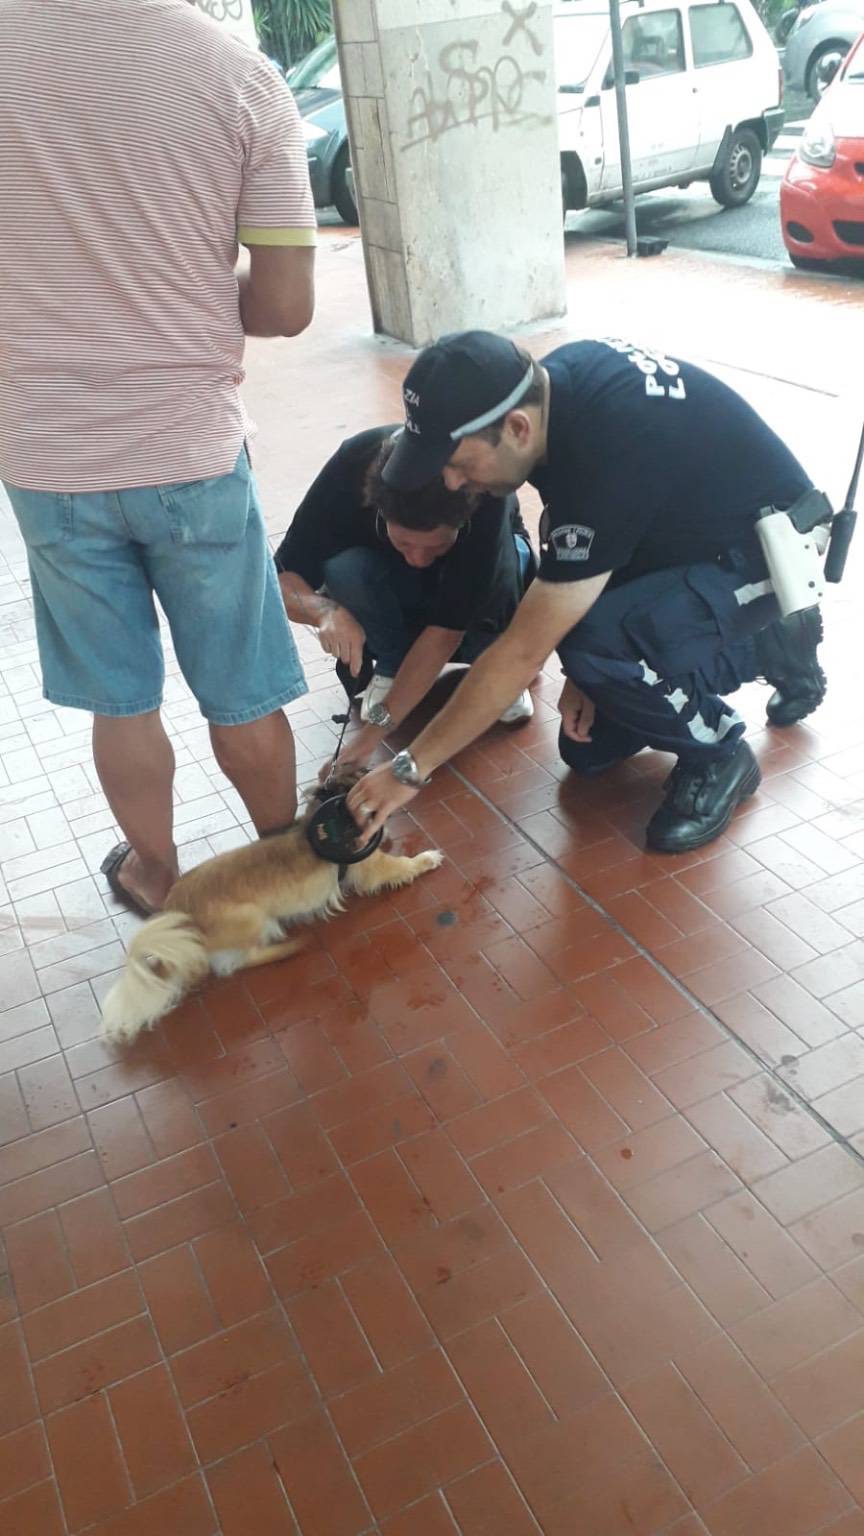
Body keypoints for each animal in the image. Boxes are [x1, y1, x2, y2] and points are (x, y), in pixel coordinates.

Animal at [100, 780, 439, 1044]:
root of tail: (177, 915)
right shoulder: (371, 867)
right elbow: (402, 865)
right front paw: (426, 859)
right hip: (253, 917)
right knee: (237, 963)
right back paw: (285, 948)